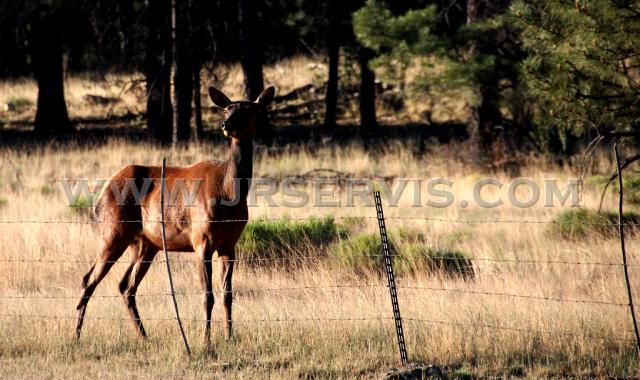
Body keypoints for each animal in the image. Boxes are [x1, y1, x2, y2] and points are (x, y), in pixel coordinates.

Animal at [75, 85, 276, 342]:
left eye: (250, 110)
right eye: (227, 108)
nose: (226, 124)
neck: (229, 192)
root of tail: (100, 196)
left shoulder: (230, 245)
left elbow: (227, 295)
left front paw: (229, 338)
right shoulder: (201, 240)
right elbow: (207, 295)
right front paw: (206, 340)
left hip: (145, 244)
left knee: (125, 286)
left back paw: (144, 336)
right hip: (113, 231)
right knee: (88, 279)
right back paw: (76, 336)